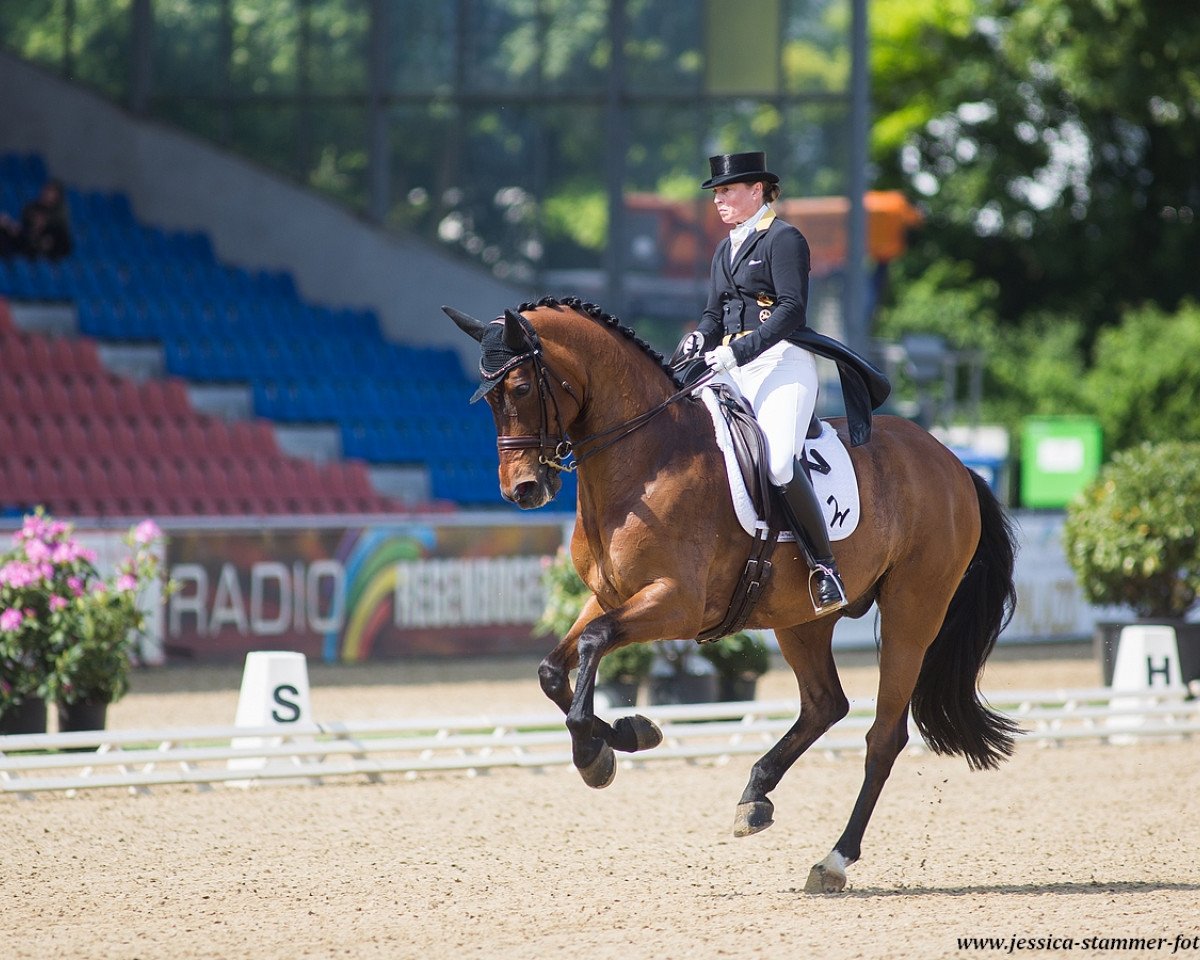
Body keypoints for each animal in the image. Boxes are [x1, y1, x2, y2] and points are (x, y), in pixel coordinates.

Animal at [445, 296, 1018, 894]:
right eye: (489, 398)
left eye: (521, 389)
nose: (523, 490)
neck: (648, 456)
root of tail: (954, 463)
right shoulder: (609, 594)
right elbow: (553, 669)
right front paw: (627, 736)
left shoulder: (677, 603)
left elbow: (593, 643)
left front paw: (593, 753)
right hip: (801, 620)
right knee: (825, 704)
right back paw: (755, 797)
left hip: (912, 613)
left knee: (883, 737)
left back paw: (833, 859)